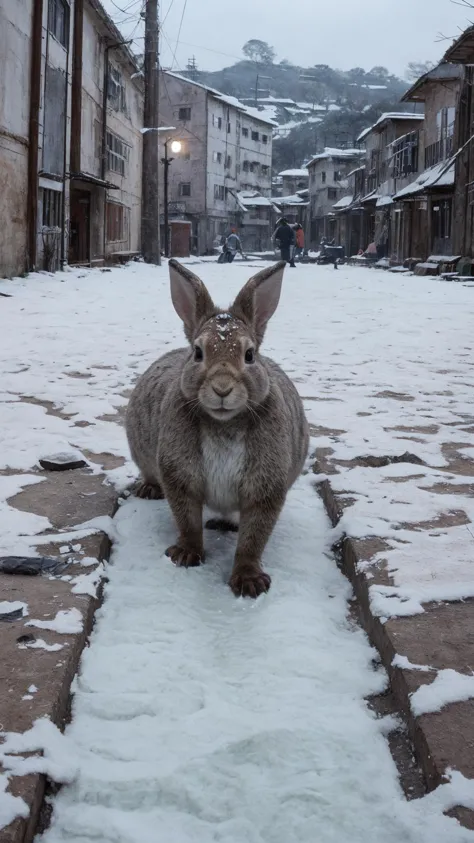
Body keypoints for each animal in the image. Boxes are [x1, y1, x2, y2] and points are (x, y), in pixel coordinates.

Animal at [126, 260, 310, 596]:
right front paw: (185, 555)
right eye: (198, 352)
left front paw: (250, 582)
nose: (222, 388)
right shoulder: (180, 477)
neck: (225, 422)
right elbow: (187, 520)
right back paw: (148, 489)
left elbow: (253, 538)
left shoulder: (265, 487)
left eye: (250, 355)